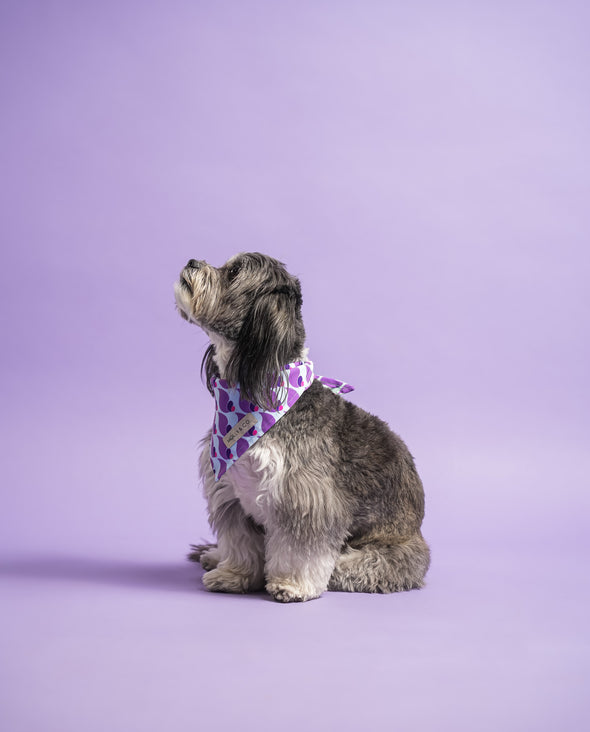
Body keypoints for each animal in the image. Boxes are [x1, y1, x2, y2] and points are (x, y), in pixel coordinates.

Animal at [175, 252, 430, 600]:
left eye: (234, 272)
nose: (192, 261)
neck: (257, 392)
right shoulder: (231, 494)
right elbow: (240, 544)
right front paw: (234, 575)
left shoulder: (305, 498)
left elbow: (300, 548)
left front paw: (290, 584)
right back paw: (213, 555)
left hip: (384, 555)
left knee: (353, 568)